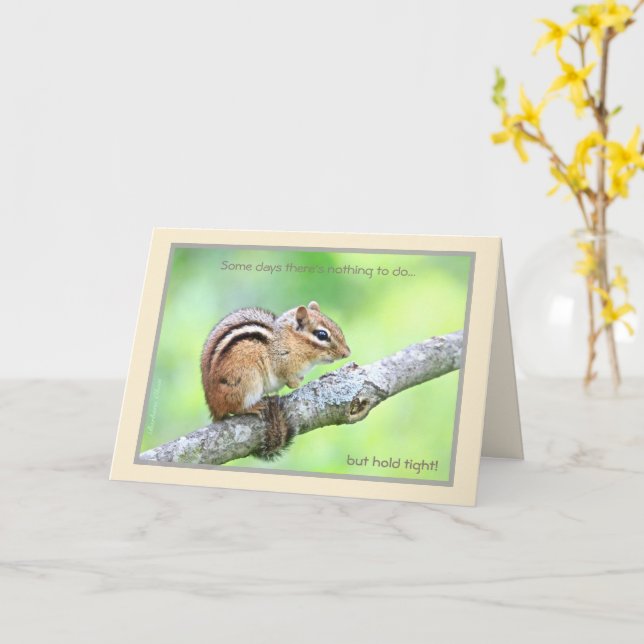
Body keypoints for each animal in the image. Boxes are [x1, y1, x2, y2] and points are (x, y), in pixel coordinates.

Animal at [200, 301, 350, 458]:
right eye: (322, 335)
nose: (347, 353)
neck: (290, 339)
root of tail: (213, 405)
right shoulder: (283, 363)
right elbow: (290, 381)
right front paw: (298, 381)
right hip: (247, 380)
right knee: (235, 407)